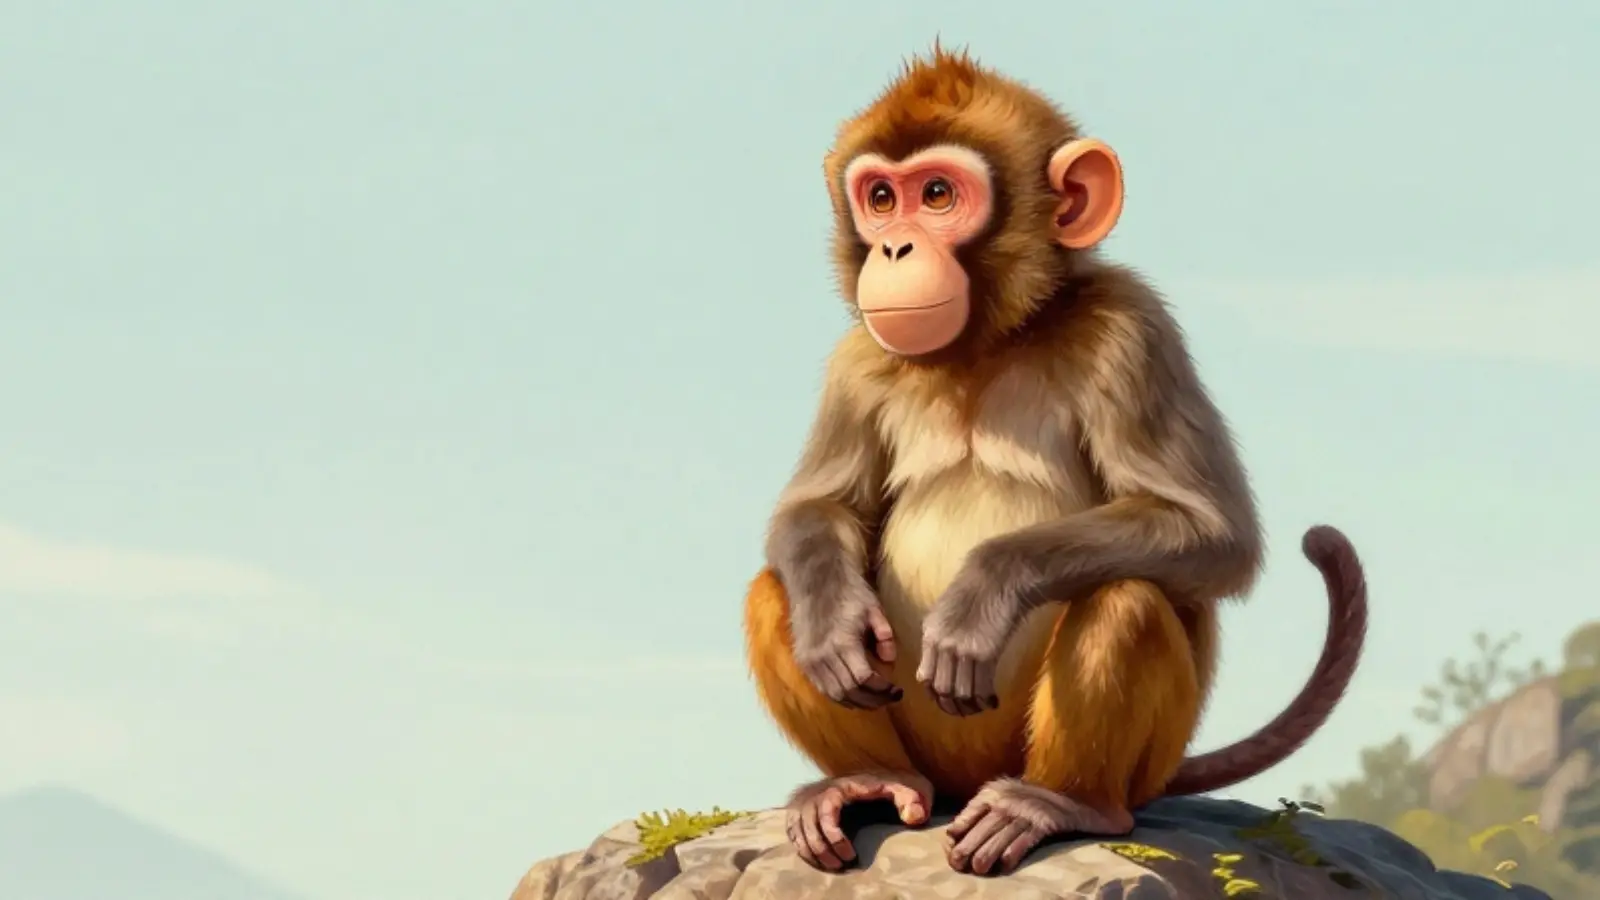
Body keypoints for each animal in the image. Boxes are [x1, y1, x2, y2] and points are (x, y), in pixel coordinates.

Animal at [741, 45, 1368, 877]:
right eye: (879, 197)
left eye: (936, 194)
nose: (894, 247)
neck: (983, 347)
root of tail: (962, 787)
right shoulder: (857, 362)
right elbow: (818, 509)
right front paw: (831, 621)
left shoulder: (1132, 331)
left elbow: (1214, 532)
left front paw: (982, 594)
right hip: (933, 761)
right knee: (772, 588)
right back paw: (867, 779)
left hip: (1127, 763)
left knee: (1125, 595)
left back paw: (1061, 803)